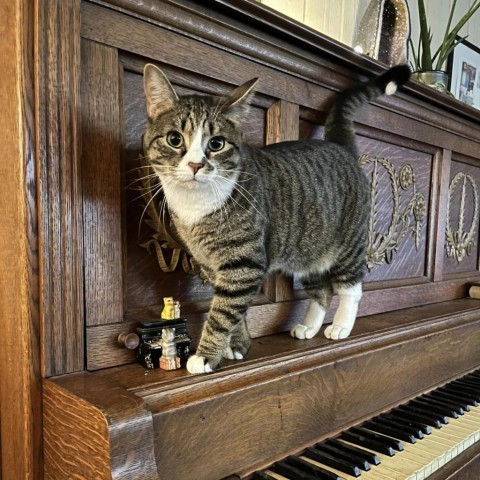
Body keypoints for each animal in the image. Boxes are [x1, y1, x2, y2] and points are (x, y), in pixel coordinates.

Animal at [142, 62, 408, 376]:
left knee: (350, 288)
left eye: (216, 144)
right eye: (174, 139)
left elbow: (223, 312)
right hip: (308, 250)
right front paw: (238, 345)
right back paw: (309, 327)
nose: (196, 165)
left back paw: (341, 326)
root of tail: (340, 147)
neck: (197, 206)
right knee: (322, 291)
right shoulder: (213, 265)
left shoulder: (244, 262)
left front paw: (206, 356)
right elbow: (235, 310)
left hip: (348, 245)